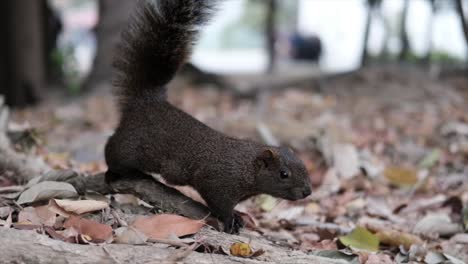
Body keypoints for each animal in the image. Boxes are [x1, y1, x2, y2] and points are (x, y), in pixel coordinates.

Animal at [105, 0, 310, 234]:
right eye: (283, 174)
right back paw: (112, 172)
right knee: (112, 150)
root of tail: (146, 100)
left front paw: (239, 215)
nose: (308, 192)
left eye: (304, 167)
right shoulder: (217, 182)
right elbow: (219, 203)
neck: (246, 166)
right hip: (130, 146)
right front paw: (231, 220)